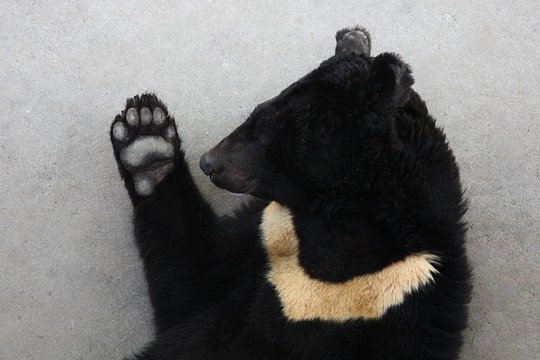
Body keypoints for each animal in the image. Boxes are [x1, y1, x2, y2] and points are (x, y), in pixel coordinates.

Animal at [110, 26, 472, 358]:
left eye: (264, 134)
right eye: (256, 111)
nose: (209, 163)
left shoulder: (396, 295)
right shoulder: (272, 228)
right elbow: (194, 276)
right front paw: (145, 135)